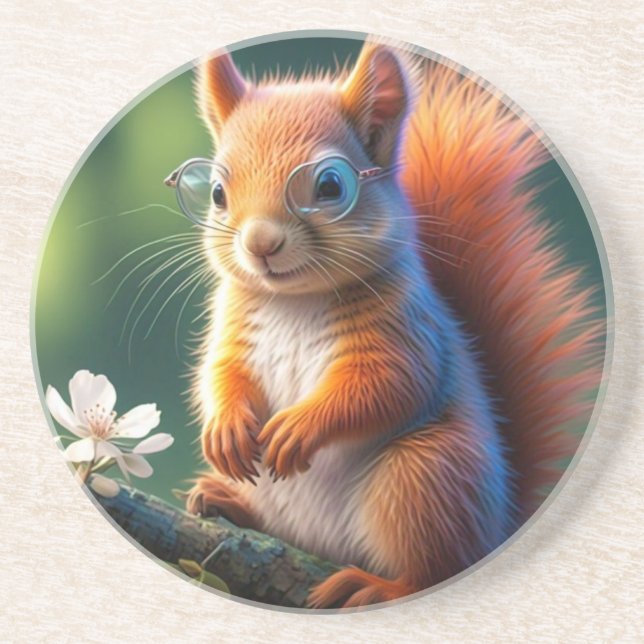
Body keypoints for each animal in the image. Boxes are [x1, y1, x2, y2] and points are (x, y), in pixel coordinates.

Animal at [184, 39, 603, 608]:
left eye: (330, 185)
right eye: (216, 193)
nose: (260, 244)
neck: (295, 301)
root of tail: (497, 531)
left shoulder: (407, 332)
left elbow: (384, 386)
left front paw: (300, 426)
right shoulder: (232, 329)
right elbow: (220, 375)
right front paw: (225, 427)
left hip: (423, 475)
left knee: (431, 569)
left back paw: (372, 586)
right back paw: (224, 499)